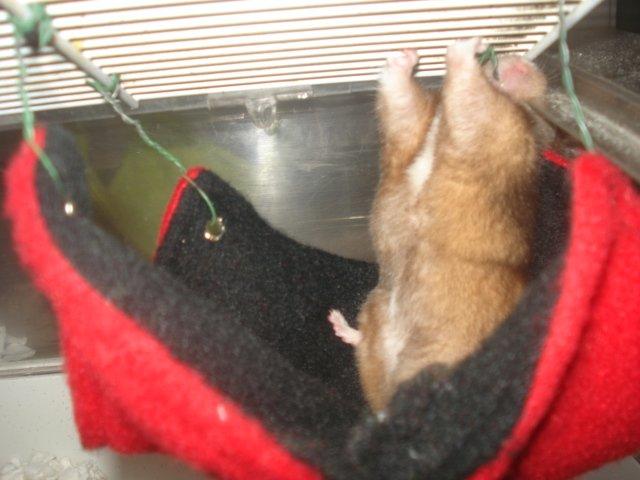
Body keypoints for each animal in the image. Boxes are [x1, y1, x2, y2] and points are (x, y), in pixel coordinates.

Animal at [329, 38, 550, 412]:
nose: (507, 55)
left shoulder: (490, 122)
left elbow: (469, 94)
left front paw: (466, 46)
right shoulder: (415, 124)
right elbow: (401, 97)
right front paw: (407, 56)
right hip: (375, 311)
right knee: (365, 349)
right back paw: (338, 323)